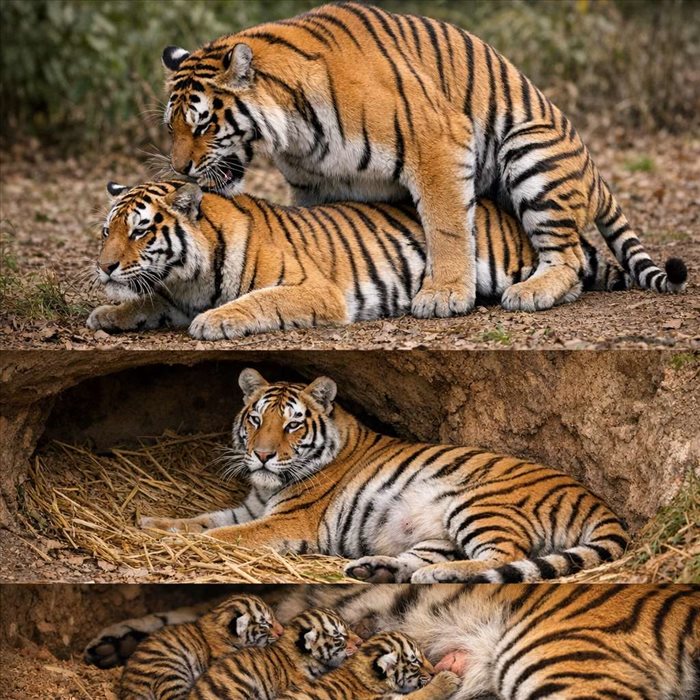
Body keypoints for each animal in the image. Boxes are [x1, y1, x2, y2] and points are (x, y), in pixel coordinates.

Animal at [86, 178, 633, 340]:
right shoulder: (172, 296)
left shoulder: (315, 289)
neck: (187, 278)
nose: (105, 266)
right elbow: (146, 302)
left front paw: (215, 321)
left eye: (140, 230)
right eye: (107, 230)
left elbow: (257, 302)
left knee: (570, 267)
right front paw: (108, 313)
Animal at [138, 368, 629, 584]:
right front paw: (151, 524)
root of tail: (596, 500)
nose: (261, 456)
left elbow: (223, 536)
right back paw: (376, 569)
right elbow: (202, 521)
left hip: (476, 504)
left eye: (293, 424)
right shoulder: (252, 508)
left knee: (504, 557)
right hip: (436, 536)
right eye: (256, 419)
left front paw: (188, 543)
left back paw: (438, 577)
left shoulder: (287, 520)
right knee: (423, 559)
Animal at [159, 2, 687, 319]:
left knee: (571, 256)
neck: (295, 130)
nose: (182, 170)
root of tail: (596, 175)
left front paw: (445, 295)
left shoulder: (437, 142)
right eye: (171, 127)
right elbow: (324, 236)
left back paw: (531, 292)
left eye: (202, 125)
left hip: (528, 149)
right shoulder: (314, 184)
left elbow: (447, 225)